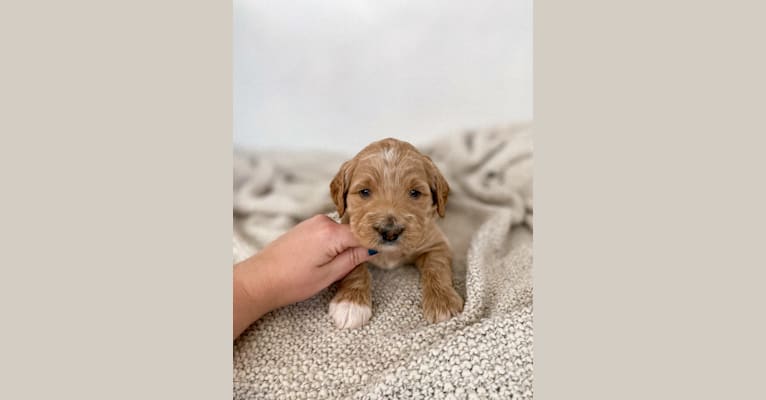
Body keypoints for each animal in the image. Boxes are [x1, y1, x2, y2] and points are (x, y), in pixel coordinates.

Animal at [328, 138, 464, 328]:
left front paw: (442, 301)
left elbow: (436, 267)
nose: (390, 232)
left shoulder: (437, 243)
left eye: (415, 193)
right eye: (364, 192)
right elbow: (355, 269)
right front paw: (350, 303)